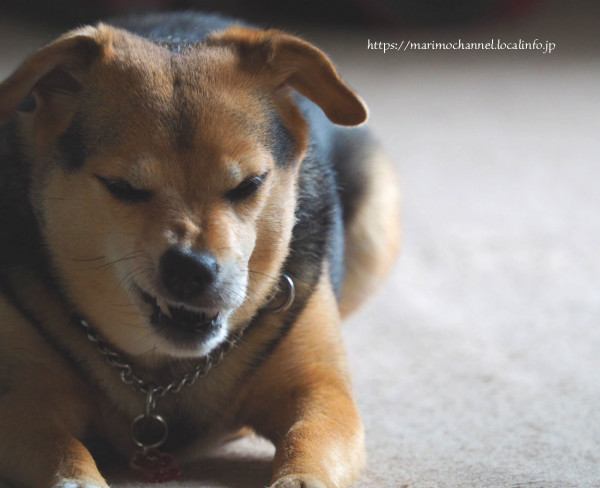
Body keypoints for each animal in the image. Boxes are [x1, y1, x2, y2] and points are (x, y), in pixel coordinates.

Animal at [1, 11, 404, 488]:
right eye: (123, 188)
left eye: (249, 184)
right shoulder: (23, 399)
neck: (165, 369)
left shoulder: (320, 391)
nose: (191, 269)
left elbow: (308, 439)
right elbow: (63, 453)